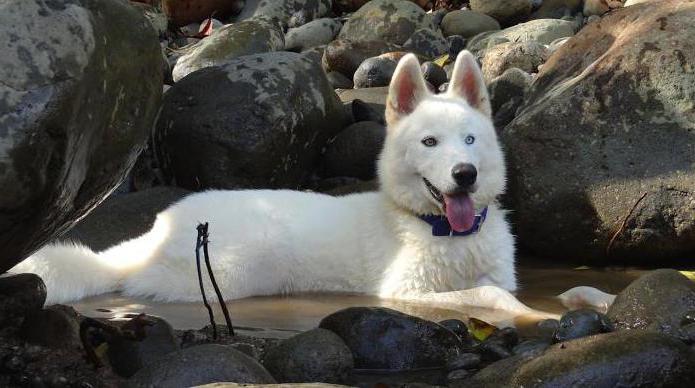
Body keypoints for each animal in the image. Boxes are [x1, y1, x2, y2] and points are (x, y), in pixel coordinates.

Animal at [12, 51, 532, 314]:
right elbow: (491, 295)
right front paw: (531, 314)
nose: (465, 174)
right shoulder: (403, 293)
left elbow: (502, 288)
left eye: (470, 139)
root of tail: (156, 231)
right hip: (233, 271)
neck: (444, 233)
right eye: (429, 142)